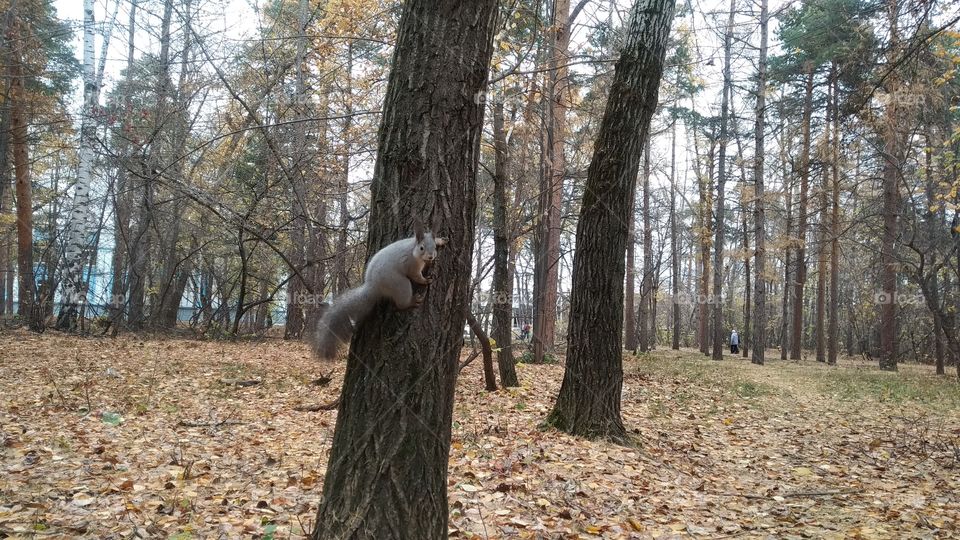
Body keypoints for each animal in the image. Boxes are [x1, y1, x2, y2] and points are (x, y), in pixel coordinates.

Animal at [311, 225, 447, 359]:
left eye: (434, 247)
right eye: (422, 248)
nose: (431, 256)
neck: (413, 248)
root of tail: (373, 286)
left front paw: (441, 241)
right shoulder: (411, 265)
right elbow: (416, 276)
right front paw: (425, 280)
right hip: (400, 284)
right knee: (401, 303)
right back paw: (412, 302)